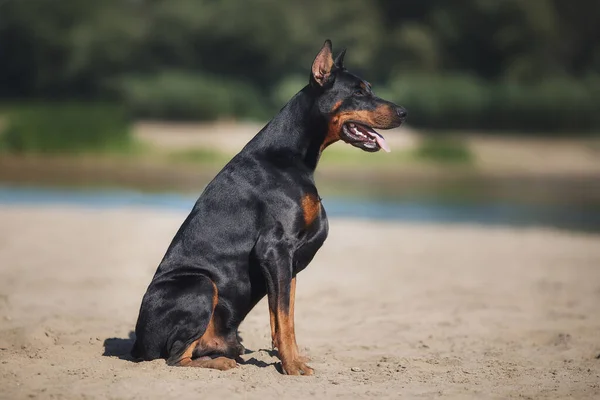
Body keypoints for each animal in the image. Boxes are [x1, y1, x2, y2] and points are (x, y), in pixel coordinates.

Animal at [132, 39, 408, 374]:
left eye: (369, 88)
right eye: (358, 92)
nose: (404, 112)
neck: (289, 154)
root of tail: (137, 345)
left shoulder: (291, 259)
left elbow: (284, 317)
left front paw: (293, 358)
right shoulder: (274, 247)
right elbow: (283, 317)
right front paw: (292, 367)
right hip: (199, 283)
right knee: (175, 357)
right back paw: (222, 362)